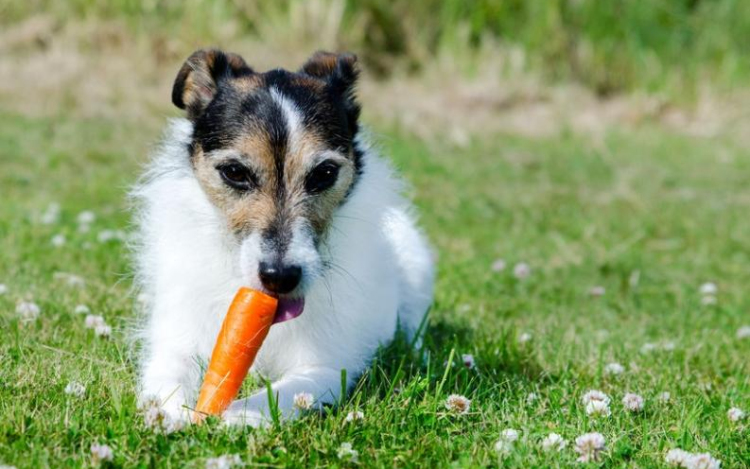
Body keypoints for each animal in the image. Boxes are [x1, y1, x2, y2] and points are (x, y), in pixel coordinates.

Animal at [130, 50, 434, 424]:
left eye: (324, 173)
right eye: (234, 172)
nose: (280, 276)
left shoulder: (325, 367)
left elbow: (281, 394)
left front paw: (236, 416)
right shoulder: (177, 339)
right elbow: (168, 375)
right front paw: (171, 415)